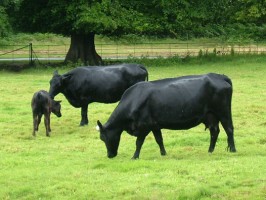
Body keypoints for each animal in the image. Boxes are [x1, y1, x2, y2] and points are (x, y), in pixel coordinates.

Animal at [97, 72, 237, 159]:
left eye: (103, 138)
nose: (110, 155)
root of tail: (219, 76)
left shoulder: (144, 125)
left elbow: (139, 142)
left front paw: (135, 156)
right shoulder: (154, 125)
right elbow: (159, 140)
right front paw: (163, 153)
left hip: (223, 111)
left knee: (229, 129)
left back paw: (233, 150)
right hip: (210, 115)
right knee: (214, 131)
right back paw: (210, 151)